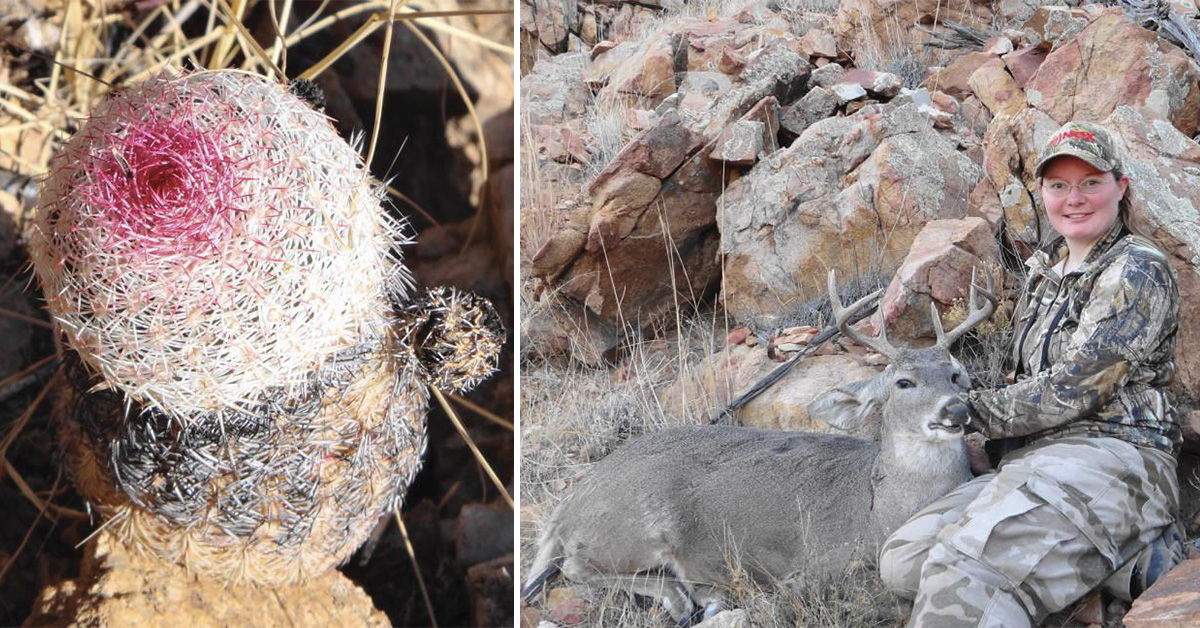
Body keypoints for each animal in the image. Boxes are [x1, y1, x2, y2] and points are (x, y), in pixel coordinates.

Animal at [521, 270, 997, 625]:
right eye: (903, 382)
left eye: (955, 375)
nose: (956, 409)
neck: (882, 506)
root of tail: (571, 503)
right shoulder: (826, 561)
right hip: (633, 528)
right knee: (577, 568)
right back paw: (682, 597)